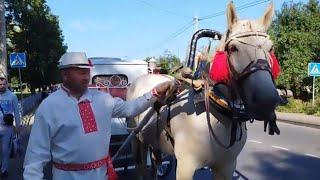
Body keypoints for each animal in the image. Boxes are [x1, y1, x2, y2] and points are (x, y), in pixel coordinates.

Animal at [126, 2, 278, 179]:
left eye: (271, 48)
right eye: (233, 48)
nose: (266, 101)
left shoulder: (226, 167)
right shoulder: (185, 167)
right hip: (137, 140)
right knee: (141, 166)